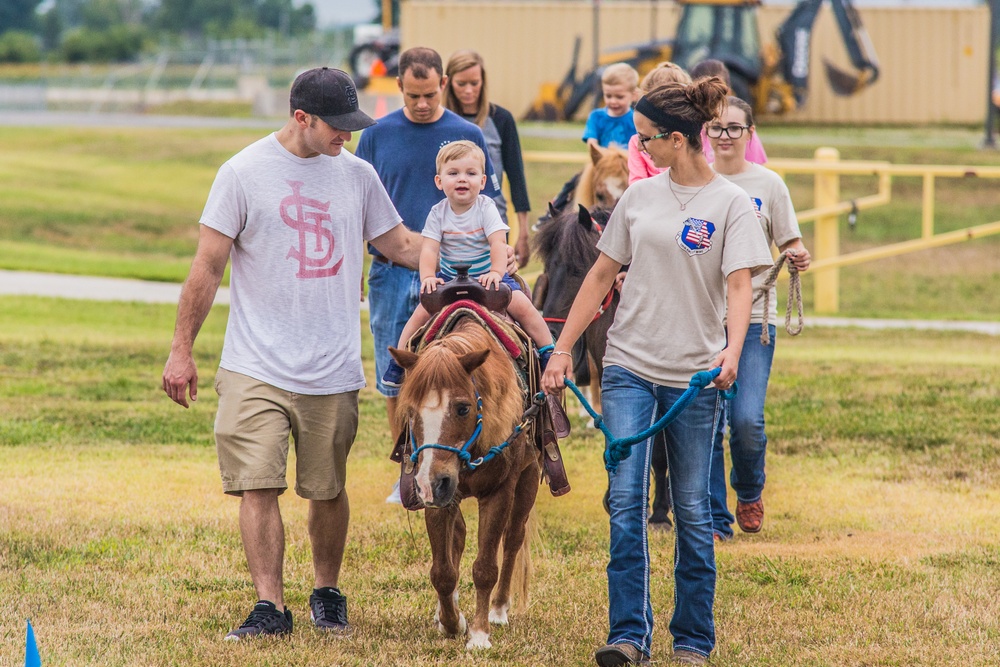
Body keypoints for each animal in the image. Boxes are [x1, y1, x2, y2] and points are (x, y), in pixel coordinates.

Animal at [392, 318, 548, 652]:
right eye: (410, 411)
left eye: (463, 408)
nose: (431, 482)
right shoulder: (438, 497)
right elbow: (442, 570)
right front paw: (451, 621)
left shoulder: (498, 492)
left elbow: (486, 567)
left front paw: (479, 633)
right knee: (460, 538)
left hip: (528, 477)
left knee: (513, 538)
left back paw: (499, 609)